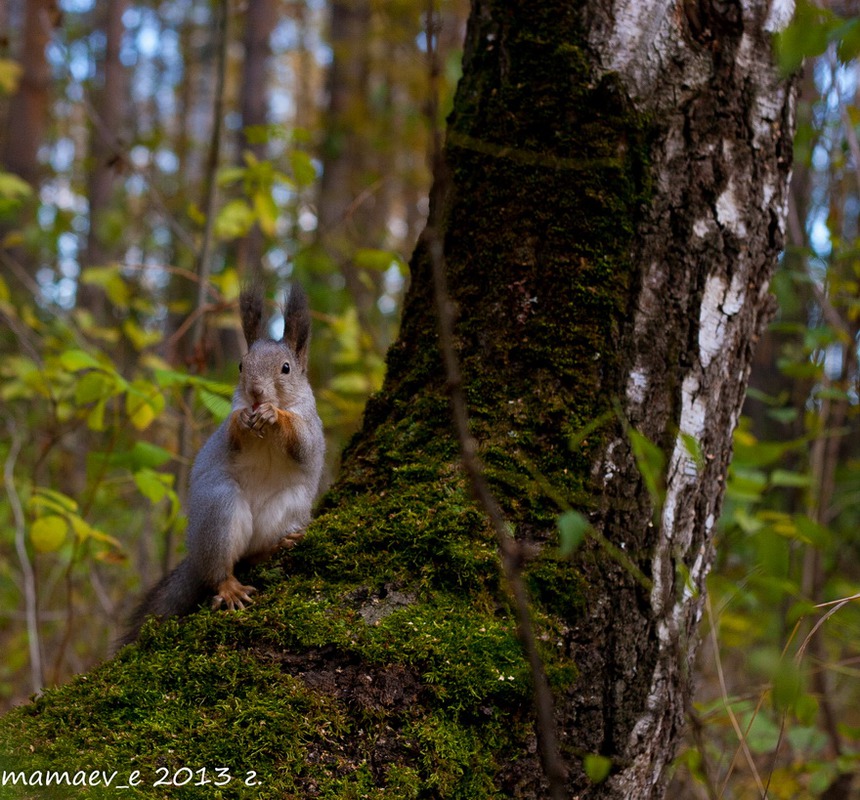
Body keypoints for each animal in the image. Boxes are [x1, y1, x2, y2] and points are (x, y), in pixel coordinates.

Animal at [125, 282, 330, 644]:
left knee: (253, 553)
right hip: (219, 508)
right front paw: (244, 418)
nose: (256, 392)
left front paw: (274, 414)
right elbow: (231, 434)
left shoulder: (311, 427)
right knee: (220, 570)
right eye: (240, 365)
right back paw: (230, 587)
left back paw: (277, 545)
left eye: (286, 368)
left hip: (289, 505)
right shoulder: (226, 435)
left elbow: (303, 445)